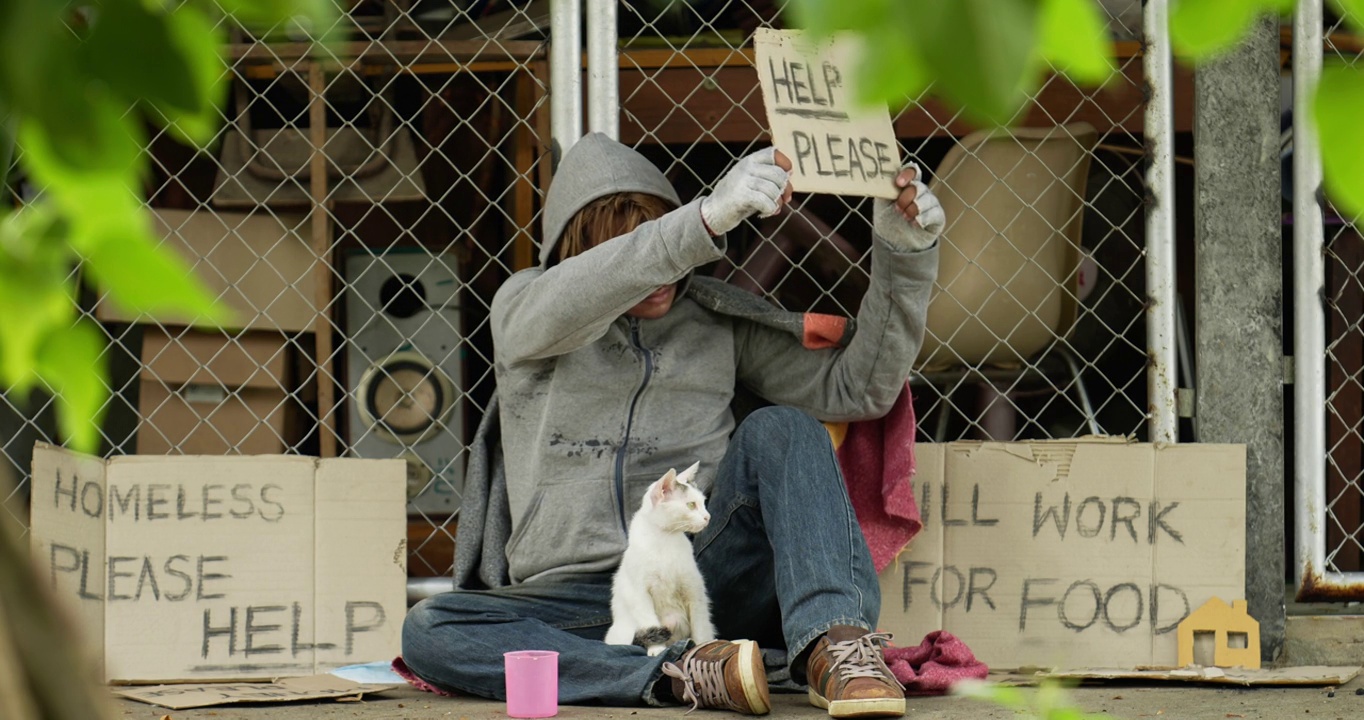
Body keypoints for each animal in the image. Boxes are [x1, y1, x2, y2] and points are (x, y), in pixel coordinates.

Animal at [605, 460, 720, 657]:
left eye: (704, 503)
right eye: (691, 505)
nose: (708, 517)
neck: (666, 541)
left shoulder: (694, 591)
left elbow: (701, 626)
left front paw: (703, 646)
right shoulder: (638, 593)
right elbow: (649, 620)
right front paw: (657, 649)